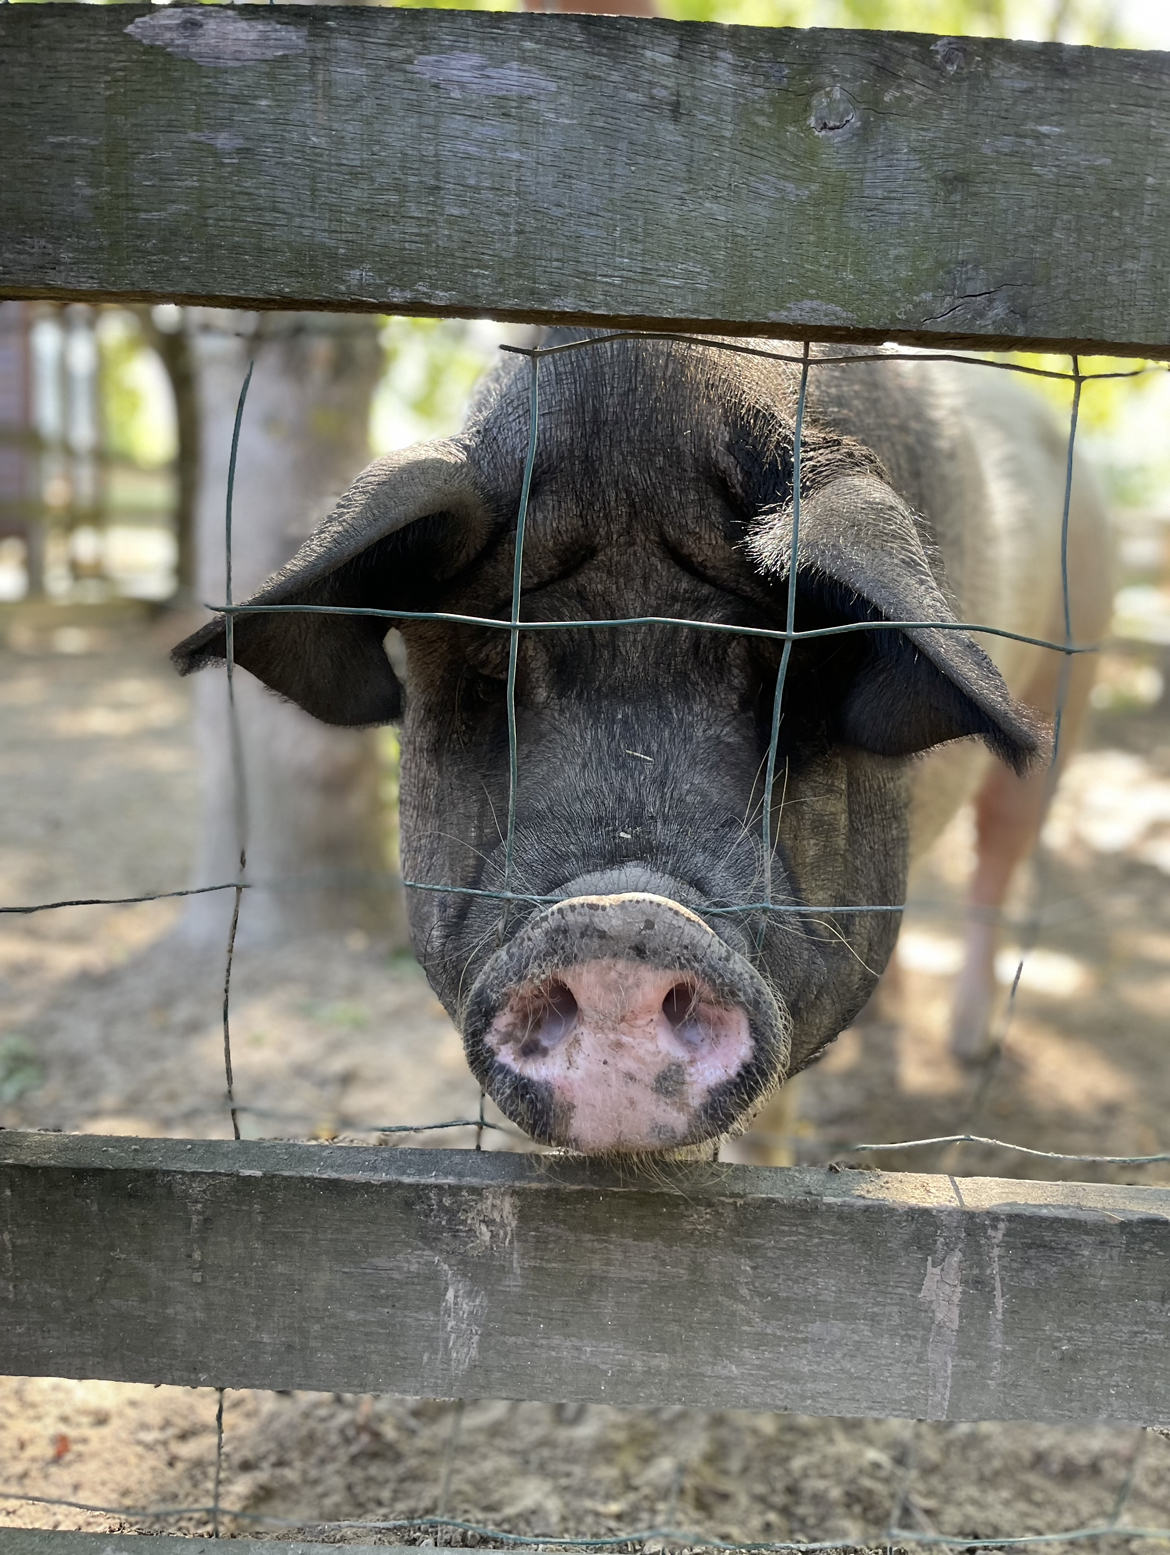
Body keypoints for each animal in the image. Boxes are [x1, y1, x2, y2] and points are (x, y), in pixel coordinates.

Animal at [171, 331, 1107, 1156]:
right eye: (492, 675)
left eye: (783, 685)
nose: (620, 918)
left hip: (1071, 686)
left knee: (1000, 853)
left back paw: (971, 1045)